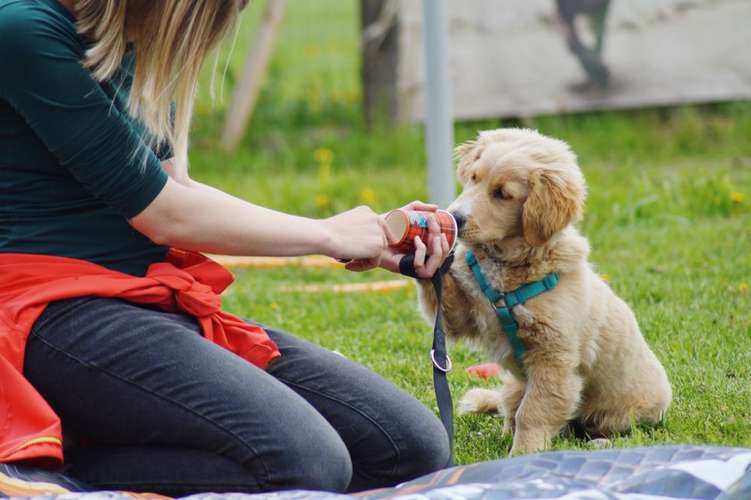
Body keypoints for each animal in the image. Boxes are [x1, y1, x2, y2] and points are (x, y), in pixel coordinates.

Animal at [420, 128, 672, 458]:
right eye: (474, 178)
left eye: (502, 194)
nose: (454, 217)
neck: (506, 266)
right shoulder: (468, 313)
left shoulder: (553, 358)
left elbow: (535, 411)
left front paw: (524, 453)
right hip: (514, 382)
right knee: (509, 406)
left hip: (623, 413)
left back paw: (599, 441)